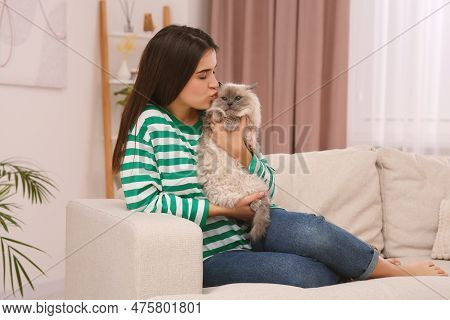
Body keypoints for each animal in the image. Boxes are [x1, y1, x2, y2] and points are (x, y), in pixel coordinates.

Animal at [197, 82, 270, 242]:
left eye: (237, 98)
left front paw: (251, 146)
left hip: (253, 182)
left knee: (264, 200)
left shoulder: (249, 129)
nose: (229, 103)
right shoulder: (210, 119)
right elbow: (217, 113)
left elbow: (250, 139)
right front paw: (227, 120)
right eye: (224, 98)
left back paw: (255, 205)